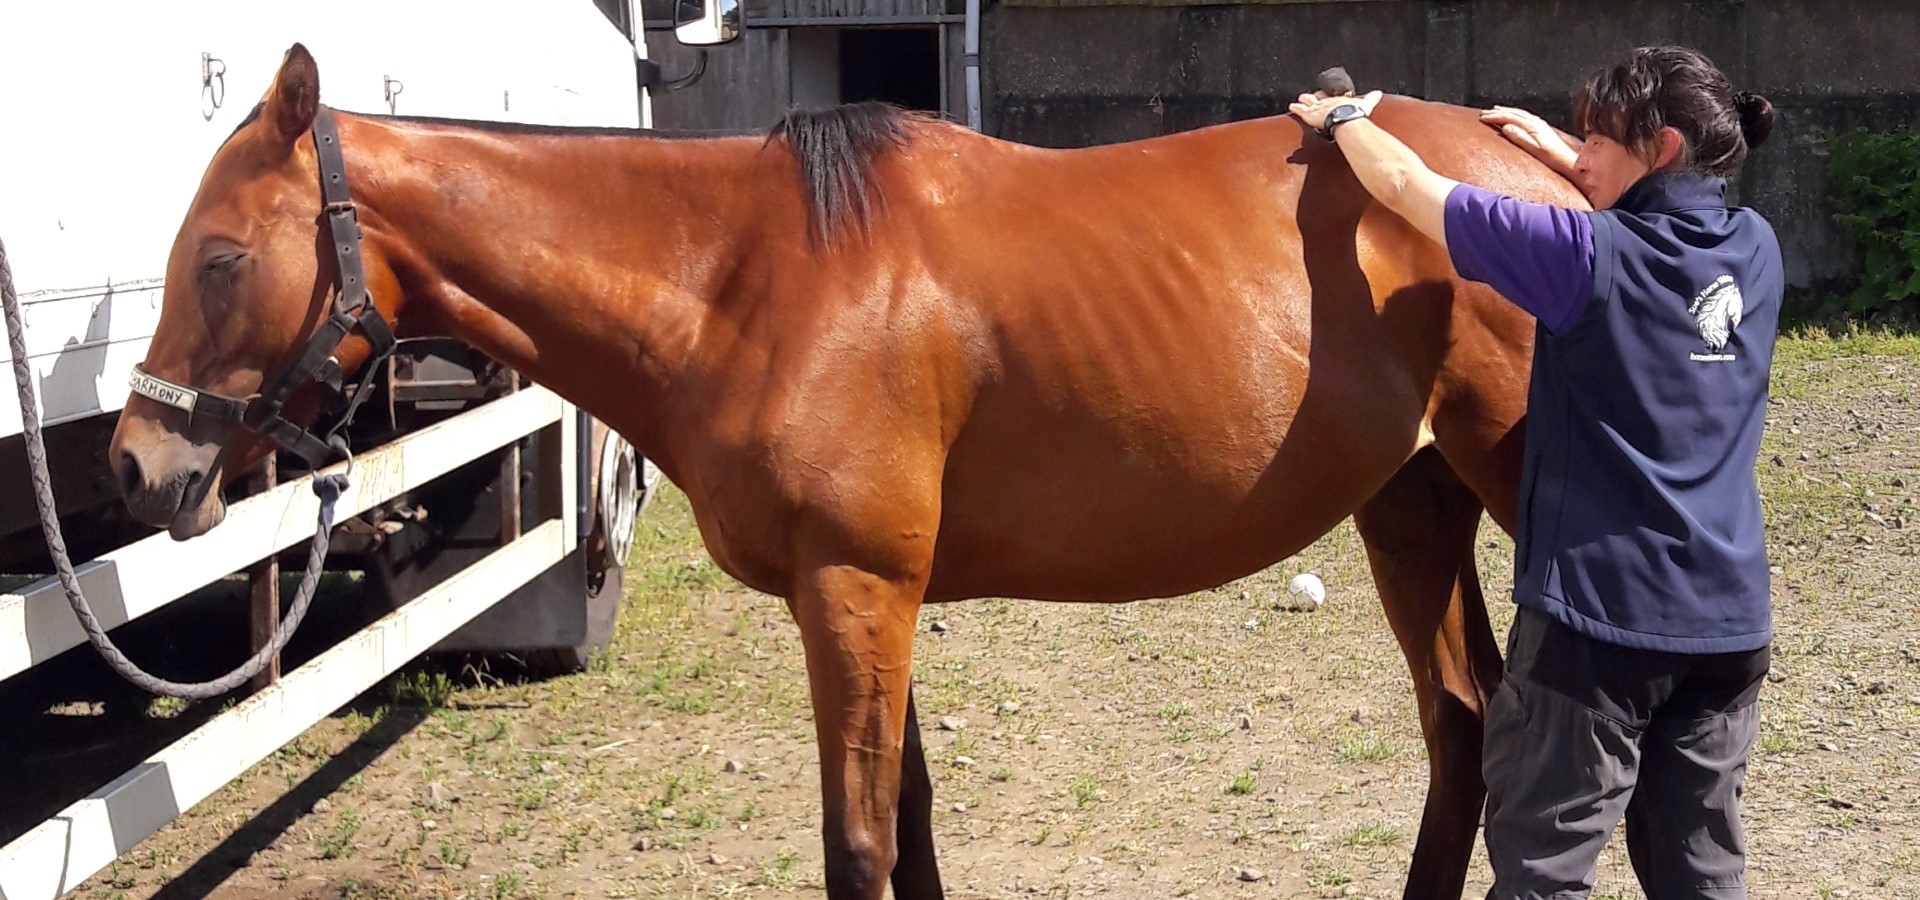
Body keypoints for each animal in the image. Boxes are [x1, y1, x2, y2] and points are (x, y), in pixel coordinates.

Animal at [110, 44, 1585, 900]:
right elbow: (911, 824)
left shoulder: (855, 588)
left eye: (223, 258)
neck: (747, 280)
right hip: (1409, 507)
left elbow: (861, 841)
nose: (137, 466)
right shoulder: (876, 597)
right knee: (1464, 726)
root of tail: (1539, 168)